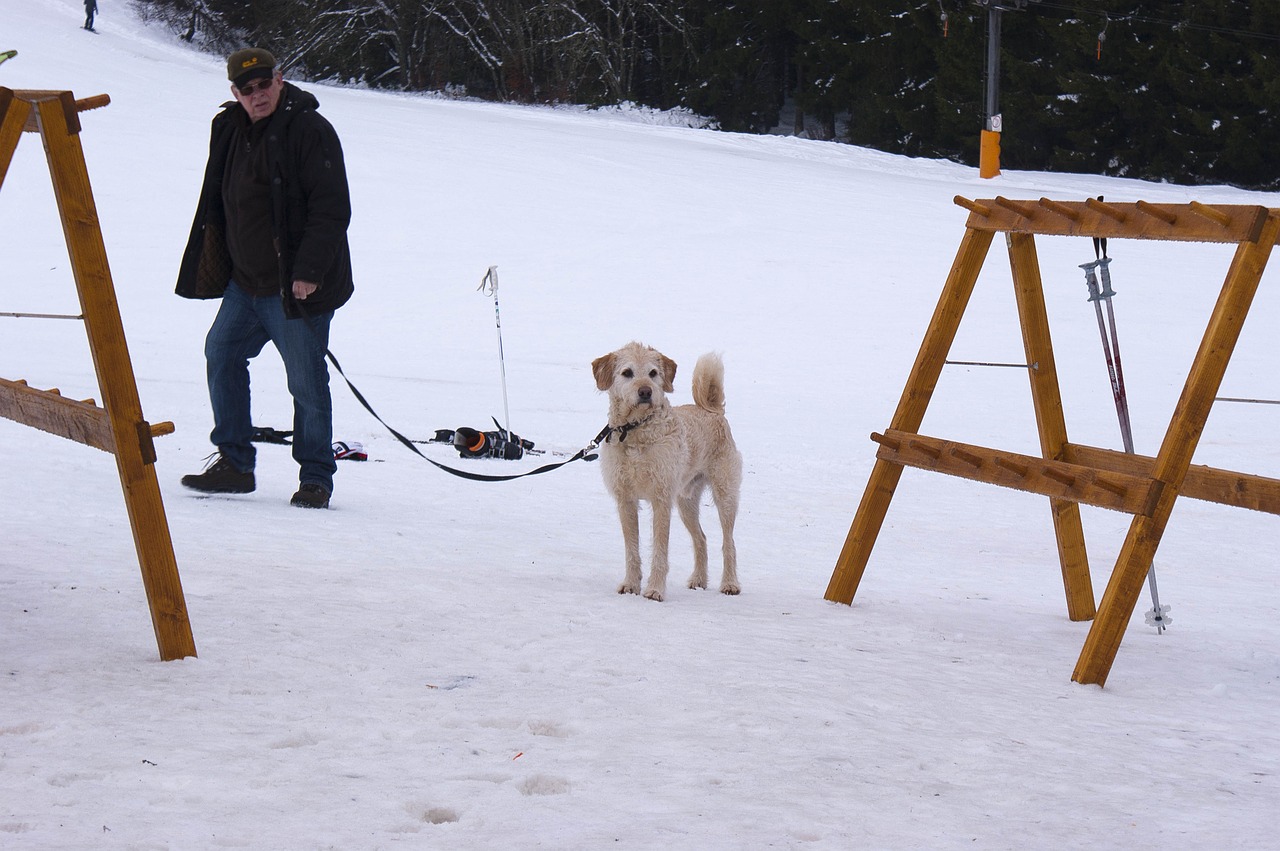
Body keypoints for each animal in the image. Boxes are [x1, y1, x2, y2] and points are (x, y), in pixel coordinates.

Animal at [588, 342, 742, 601]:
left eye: (653, 373)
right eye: (627, 372)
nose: (645, 392)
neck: (636, 429)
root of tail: (712, 411)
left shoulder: (661, 499)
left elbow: (660, 549)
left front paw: (655, 590)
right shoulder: (625, 500)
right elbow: (632, 549)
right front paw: (631, 585)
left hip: (725, 494)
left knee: (728, 541)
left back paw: (730, 583)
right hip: (686, 502)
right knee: (701, 539)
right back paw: (699, 580)